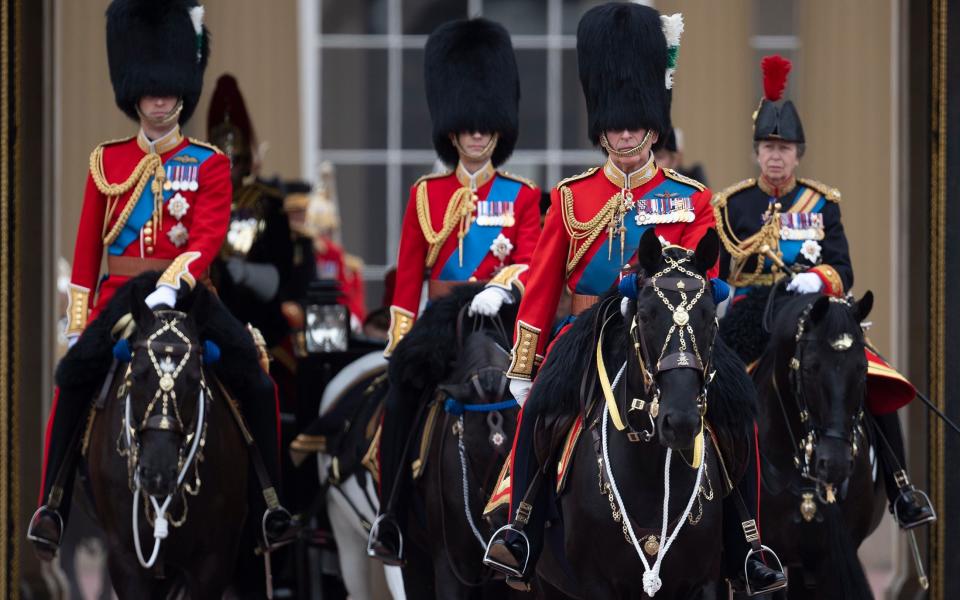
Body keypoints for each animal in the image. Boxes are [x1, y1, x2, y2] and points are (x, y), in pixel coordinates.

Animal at [516, 232, 752, 600]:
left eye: (710, 316)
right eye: (644, 315)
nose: (680, 421)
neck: (649, 469)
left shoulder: (705, 582)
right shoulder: (595, 584)